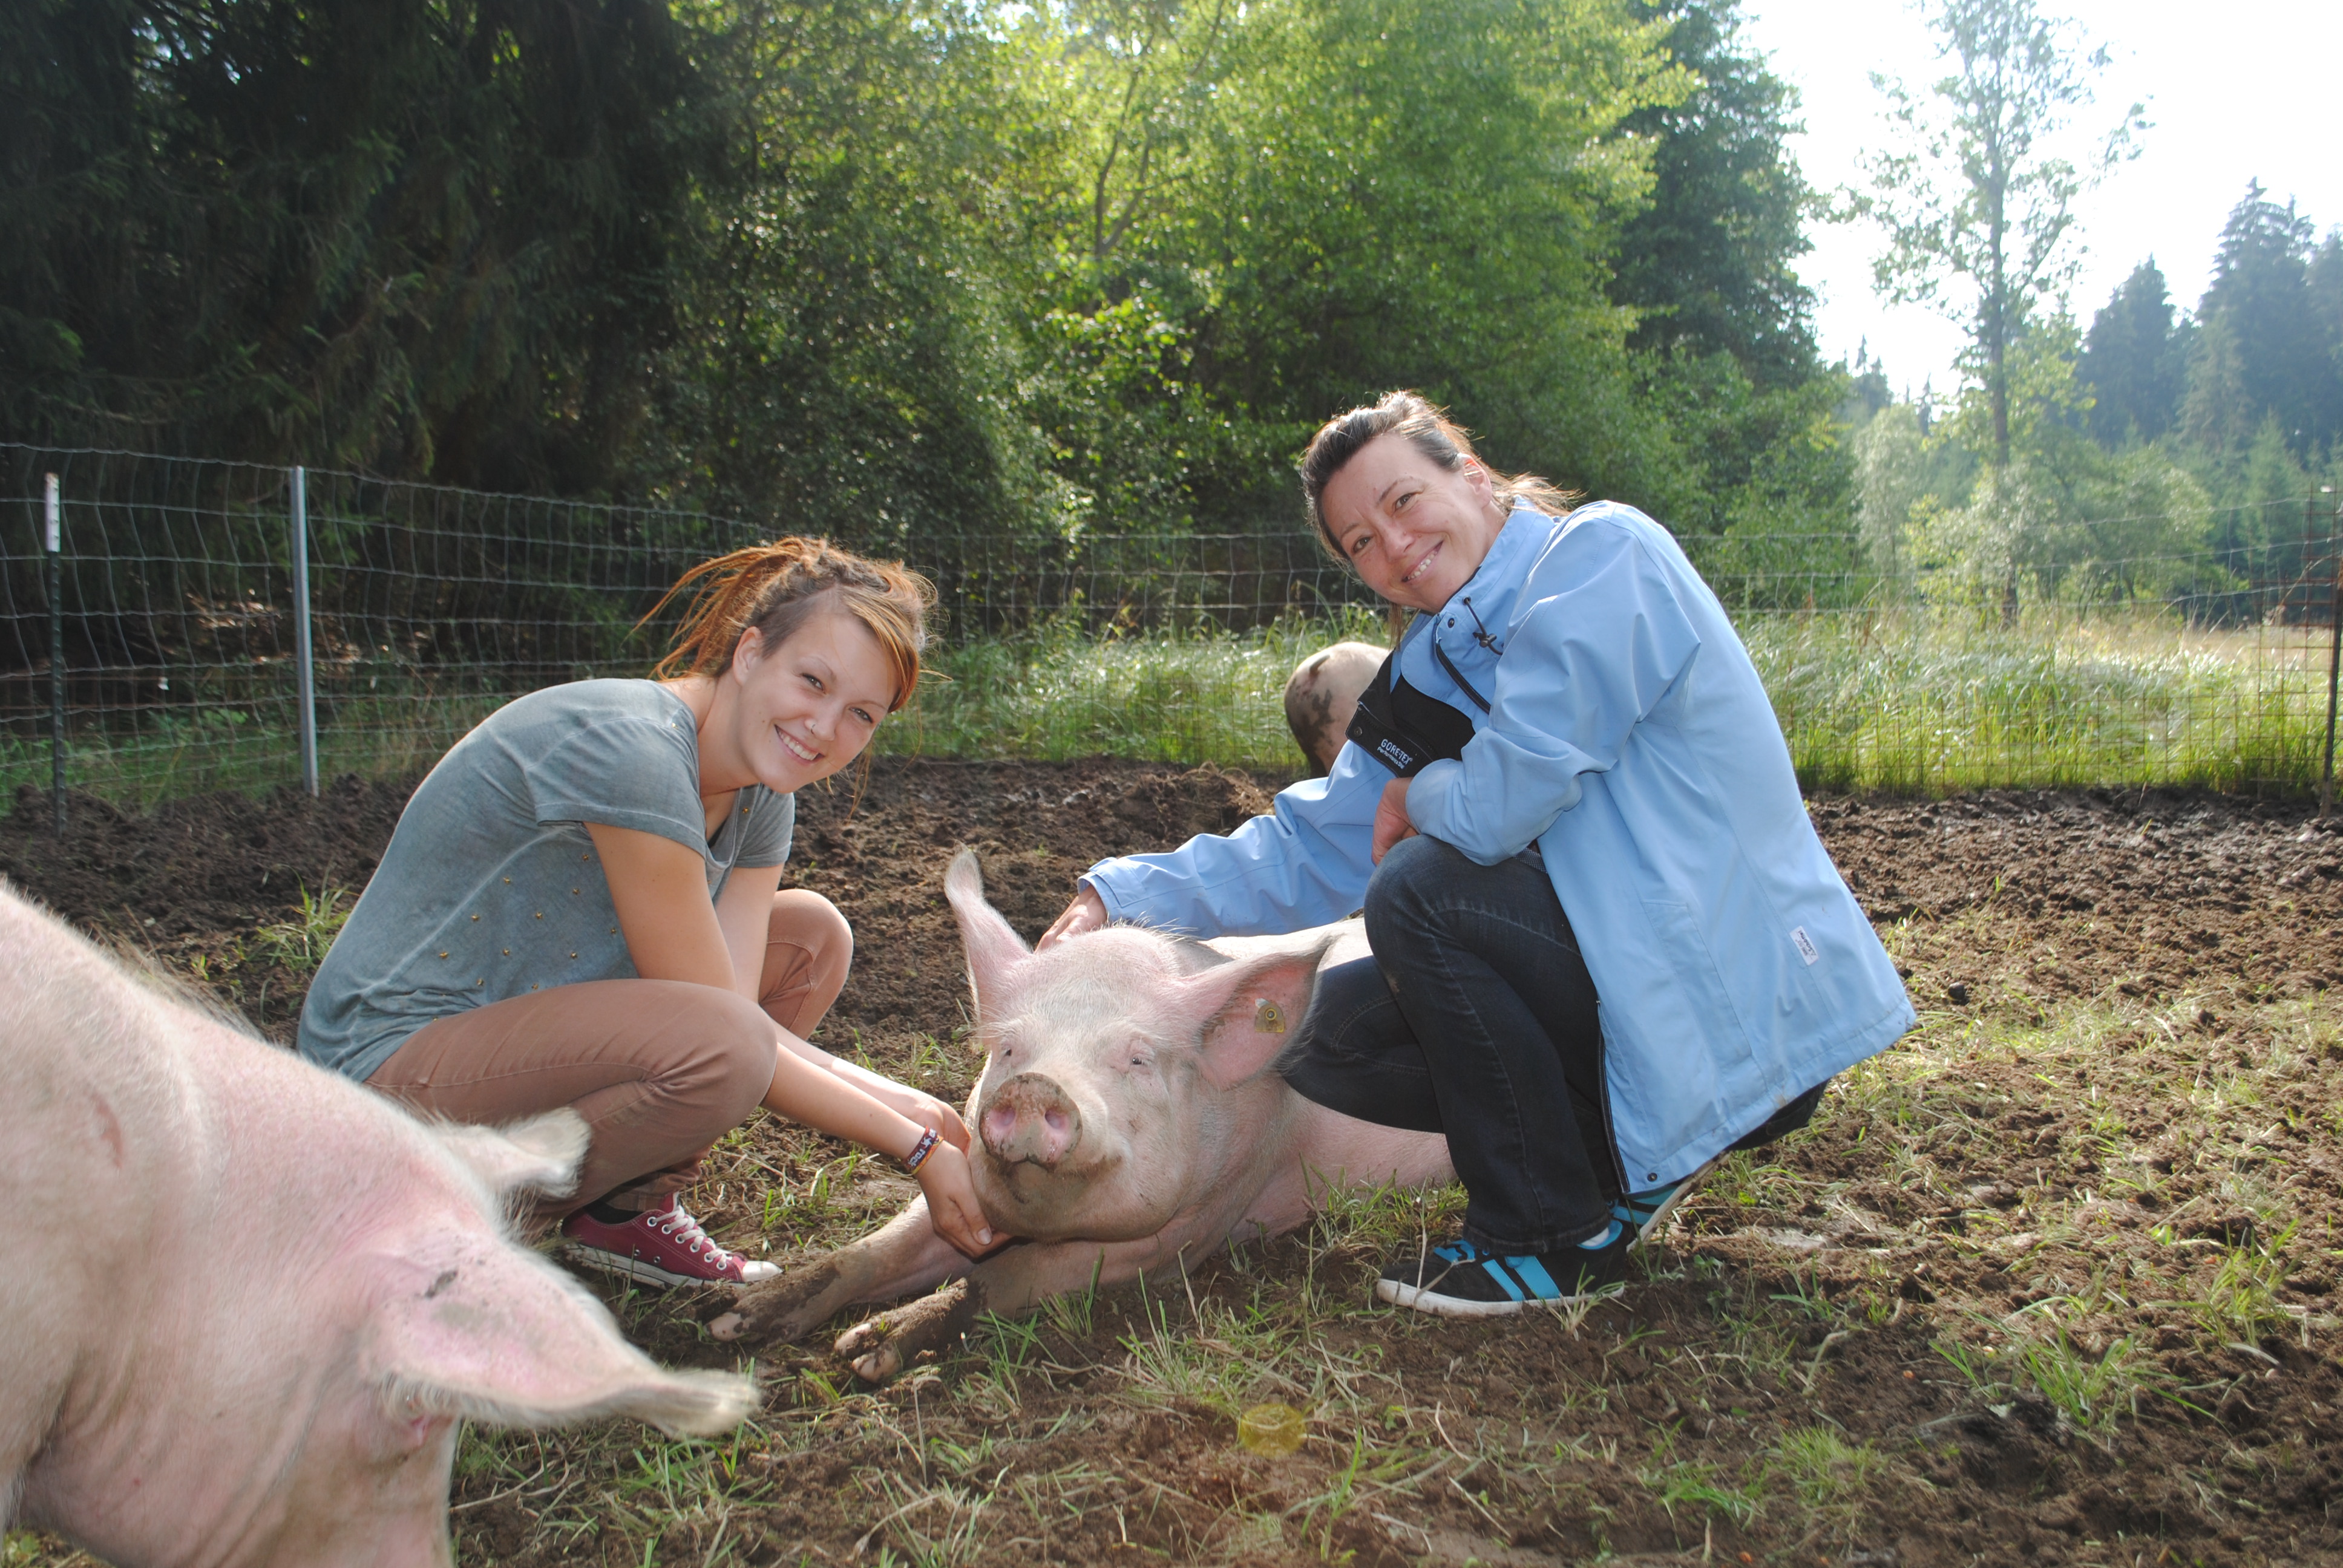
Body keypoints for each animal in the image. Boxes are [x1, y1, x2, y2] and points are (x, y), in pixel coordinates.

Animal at [711, 848, 1452, 1380]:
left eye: (1138, 1060)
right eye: (1011, 1048)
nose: (1037, 1086)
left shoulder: (1198, 1222)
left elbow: (1009, 1275)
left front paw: (866, 1355)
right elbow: (880, 1248)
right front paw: (734, 1320)